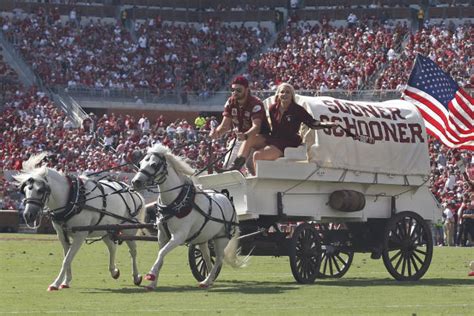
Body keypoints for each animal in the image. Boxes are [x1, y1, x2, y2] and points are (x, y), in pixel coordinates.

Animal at [13, 153, 145, 292]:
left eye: (40, 190)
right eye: (25, 191)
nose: (28, 215)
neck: (71, 198)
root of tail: (134, 192)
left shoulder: (80, 236)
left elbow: (66, 260)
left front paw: (55, 283)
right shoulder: (62, 235)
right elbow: (67, 257)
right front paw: (66, 281)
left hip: (128, 230)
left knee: (133, 251)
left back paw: (136, 276)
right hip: (105, 229)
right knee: (112, 247)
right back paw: (114, 271)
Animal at [132, 144, 246, 290]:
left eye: (154, 164)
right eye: (140, 163)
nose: (136, 182)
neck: (175, 203)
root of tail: (227, 198)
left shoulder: (179, 236)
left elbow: (161, 253)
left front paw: (151, 275)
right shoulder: (162, 235)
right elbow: (161, 254)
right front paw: (153, 283)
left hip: (221, 238)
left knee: (219, 259)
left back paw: (207, 280)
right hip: (203, 238)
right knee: (207, 257)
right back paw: (209, 280)